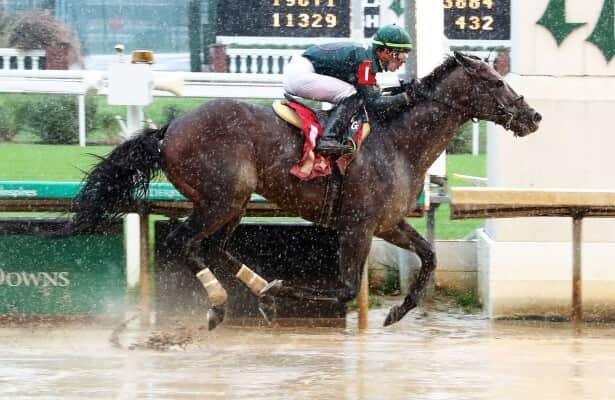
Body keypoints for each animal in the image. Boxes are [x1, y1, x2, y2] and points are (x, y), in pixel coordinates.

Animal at [65, 52, 540, 328]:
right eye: (496, 82)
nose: (532, 116)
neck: (398, 143)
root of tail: (169, 130)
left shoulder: (387, 223)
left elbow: (430, 256)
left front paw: (398, 311)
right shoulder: (357, 227)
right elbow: (345, 288)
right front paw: (284, 290)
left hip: (234, 201)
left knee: (214, 247)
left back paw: (258, 292)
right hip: (221, 197)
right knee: (185, 241)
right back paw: (222, 303)